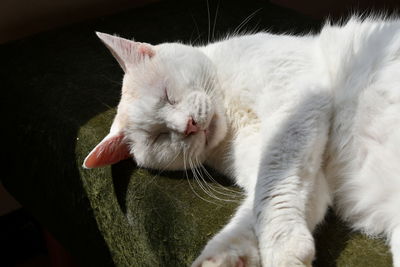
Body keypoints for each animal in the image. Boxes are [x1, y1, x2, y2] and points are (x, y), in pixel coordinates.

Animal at [83, 17, 398, 267]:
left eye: (167, 94)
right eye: (159, 136)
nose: (188, 125)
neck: (231, 119)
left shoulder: (293, 105)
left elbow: (274, 182)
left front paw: (281, 247)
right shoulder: (293, 171)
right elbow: (260, 204)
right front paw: (225, 258)